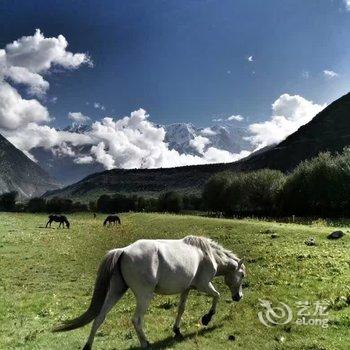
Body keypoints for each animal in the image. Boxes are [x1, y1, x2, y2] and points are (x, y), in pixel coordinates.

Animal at [54, 234, 246, 348]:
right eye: (242, 275)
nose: (238, 297)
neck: (207, 254)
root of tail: (123, 251)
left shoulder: (186, 289)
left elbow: (181, 309)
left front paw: (177, 330)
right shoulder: (204, 285)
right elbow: (217, 296)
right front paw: (207, 318)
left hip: (116, 291)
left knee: (100, 317)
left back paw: (88, 345)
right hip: (144, 296)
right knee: (136, 320)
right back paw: (146, 343)